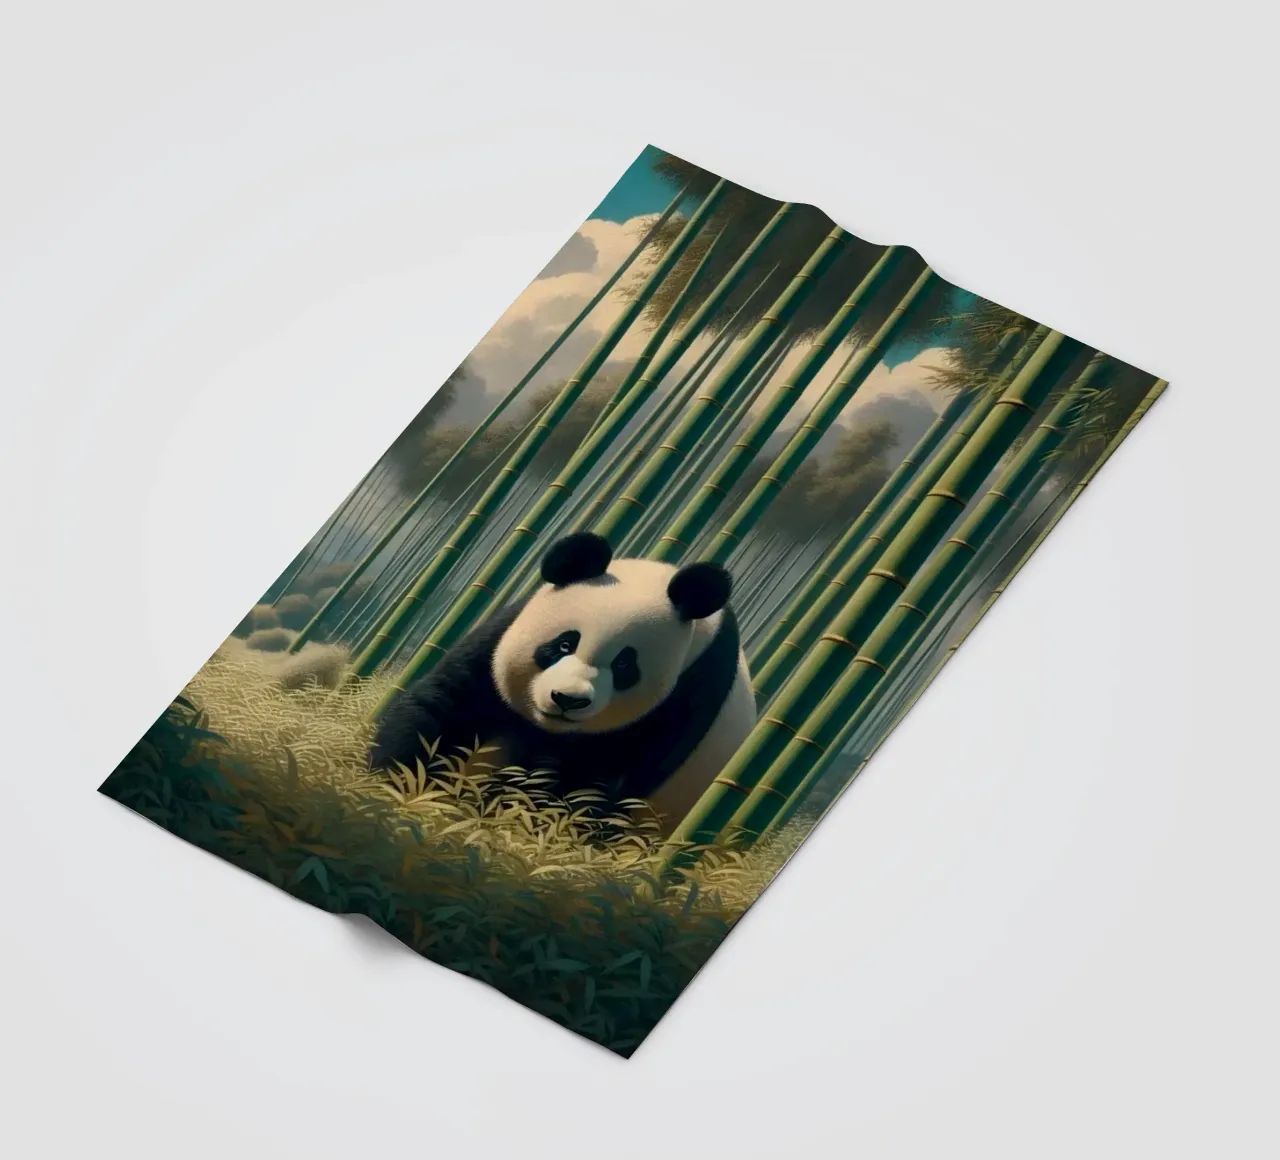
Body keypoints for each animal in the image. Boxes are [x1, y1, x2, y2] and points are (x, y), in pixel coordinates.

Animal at [370, 532, 756, 832]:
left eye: (624, 665)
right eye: (564, 644)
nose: (567, 699)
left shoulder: (688, 695)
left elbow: (592, 778)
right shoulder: (502, 634)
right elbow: (448, 704)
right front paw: (392, 784)